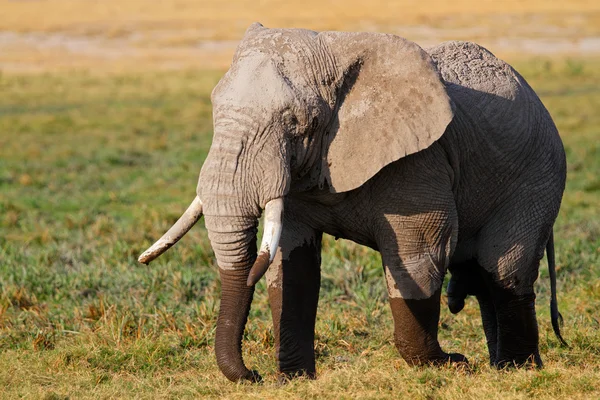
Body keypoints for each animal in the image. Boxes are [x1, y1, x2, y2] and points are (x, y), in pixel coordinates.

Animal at [137, 23, 568, 382]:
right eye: (213, 106)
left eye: (298, 122)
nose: (252, 375)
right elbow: (291, 266)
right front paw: (294, 380)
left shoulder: (419, 161)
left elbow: (419, 252)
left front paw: (451, 365)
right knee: (483, 273)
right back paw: (503, 365)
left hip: (537, 176)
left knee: (505, 267)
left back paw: (516, 369)